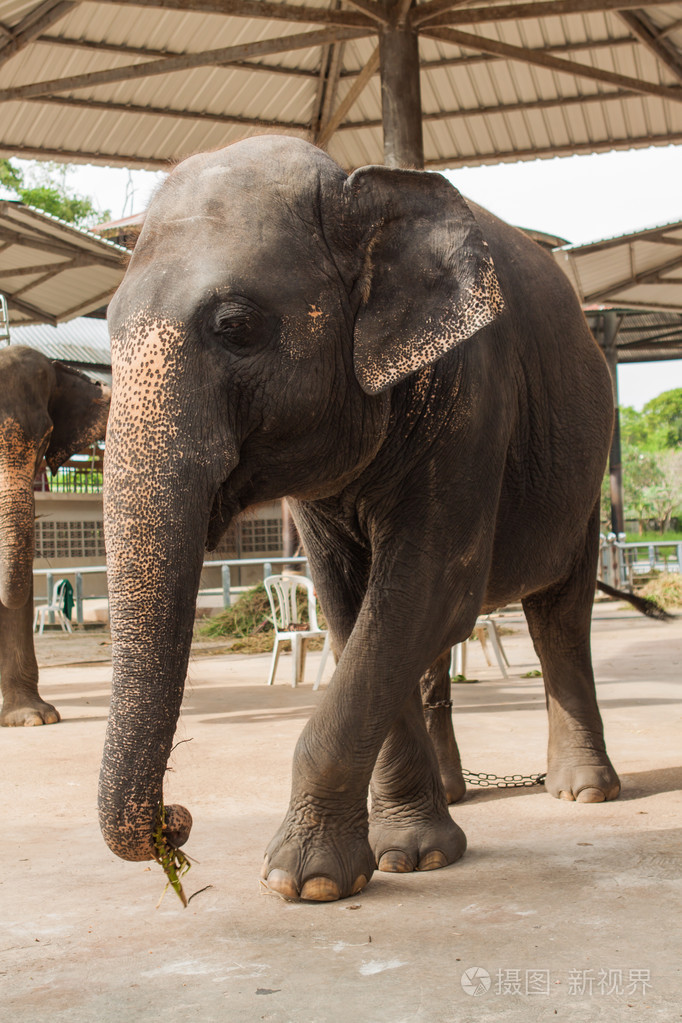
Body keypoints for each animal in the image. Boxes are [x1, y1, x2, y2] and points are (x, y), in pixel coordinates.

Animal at [100, 136, 617, 904]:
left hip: (587, 469)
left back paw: (584, 792)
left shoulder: (475, 399)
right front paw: (410, 855)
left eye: (236, 328)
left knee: (560, 614)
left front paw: (305, 880)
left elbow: (429, 590)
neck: (356, 185)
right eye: (106, 328)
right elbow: (353, 609)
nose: (177, 820)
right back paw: (457, 796)